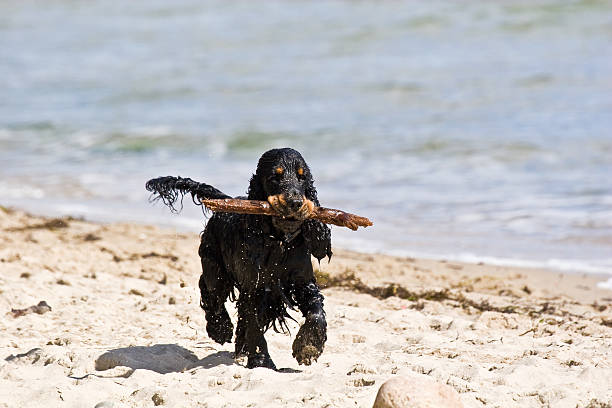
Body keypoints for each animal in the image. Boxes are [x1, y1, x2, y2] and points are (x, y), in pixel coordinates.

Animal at [146, 147, 332, 370]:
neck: (278, 241)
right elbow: (254, 324)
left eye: (302, 177)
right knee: (210, 290)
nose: (296, 203)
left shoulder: (301, 281)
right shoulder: (254, 287)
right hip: (215, 267)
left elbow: (316, 310)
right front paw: (261, 360)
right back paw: (220, 329)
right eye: (275, 177)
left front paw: (308, 347)